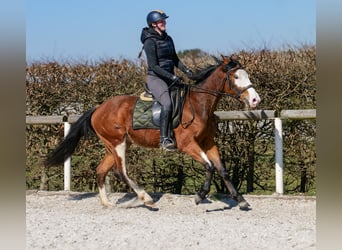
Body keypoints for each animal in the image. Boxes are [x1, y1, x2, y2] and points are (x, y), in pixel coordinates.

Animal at [44, 55, 260, 210]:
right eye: (236, 77)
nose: (255, 100)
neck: (199, 105)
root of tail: (98, 108)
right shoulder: (187, 144)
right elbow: (209, 166)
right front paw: (199, 197)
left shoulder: (208, 143)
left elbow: (222, 170)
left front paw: (241, 200)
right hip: (117, 143)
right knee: (120, 171)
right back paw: (146, 198)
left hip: (113, 145)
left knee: (101, 170)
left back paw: (107, 203)